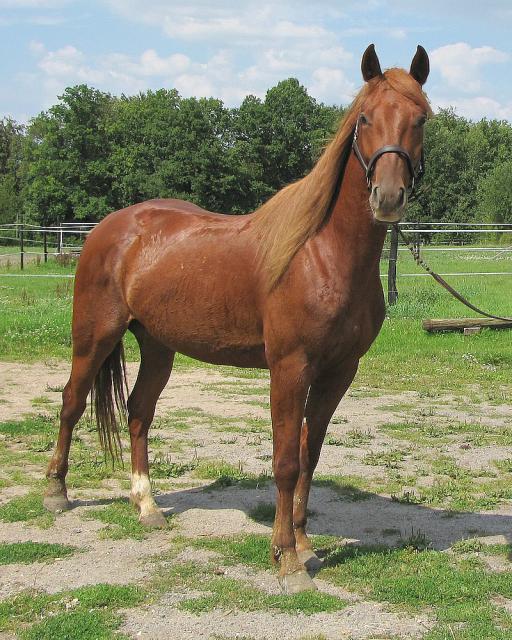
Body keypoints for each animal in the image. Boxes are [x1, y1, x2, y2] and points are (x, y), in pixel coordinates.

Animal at [44, 45, 430, 592]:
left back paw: (147, 506)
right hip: (94, 336)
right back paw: (56, 492)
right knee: (72, 402)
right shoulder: (289, 369)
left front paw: (304, 544)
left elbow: (310, 455)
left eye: (421, 119)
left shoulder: (338, 372)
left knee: (139, 412)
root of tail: (109, 228)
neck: (321, 253)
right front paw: (287, 560)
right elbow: (286, 461)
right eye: (364, 118)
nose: (389, 197)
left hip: (158, 345)